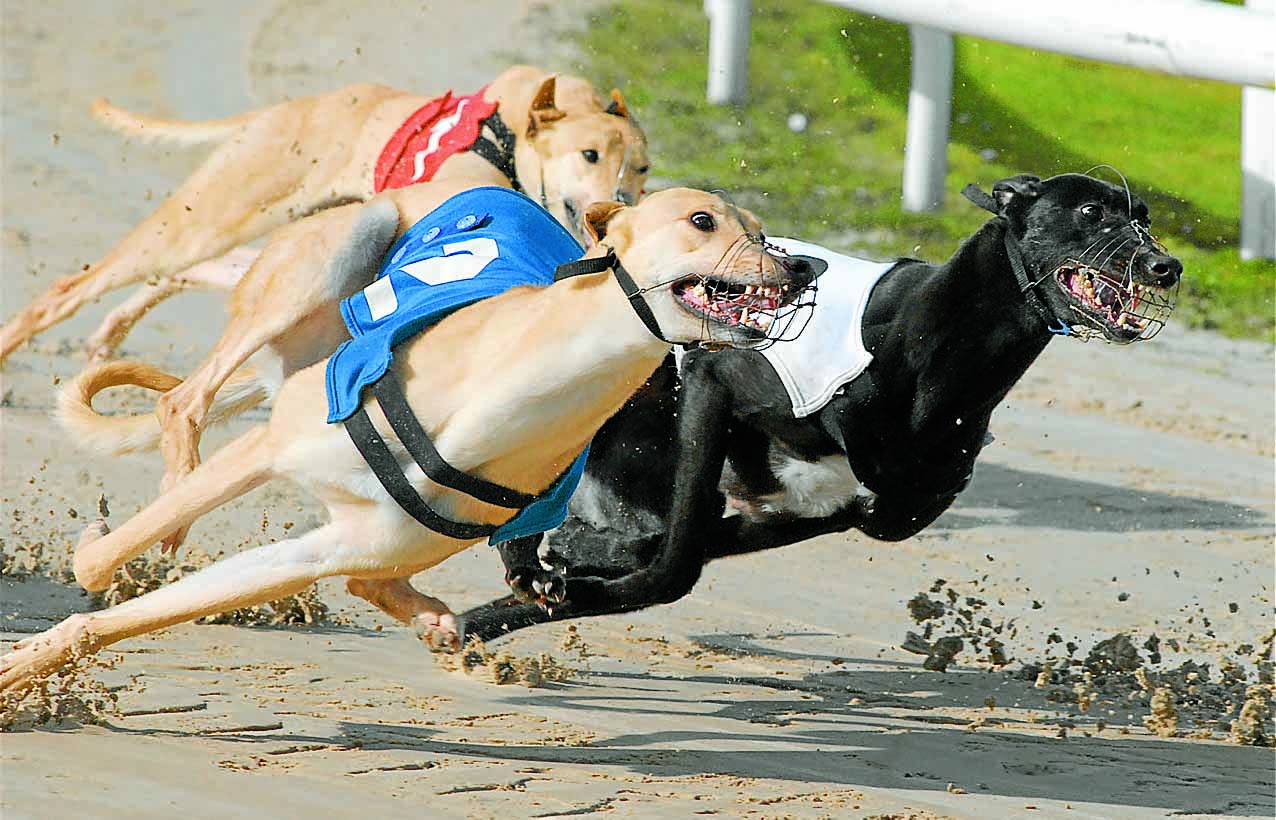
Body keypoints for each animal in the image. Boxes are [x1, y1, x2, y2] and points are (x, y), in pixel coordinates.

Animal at [4, 182, 816, 693]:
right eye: (704, 221)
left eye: (763, 232)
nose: (803, 264)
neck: (499, 399)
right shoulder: (273, 448)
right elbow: (96, 565)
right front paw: (86, 577)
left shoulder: (333, 546)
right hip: (326, 263)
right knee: (184, 404)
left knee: (368, 578)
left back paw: (436, 619)